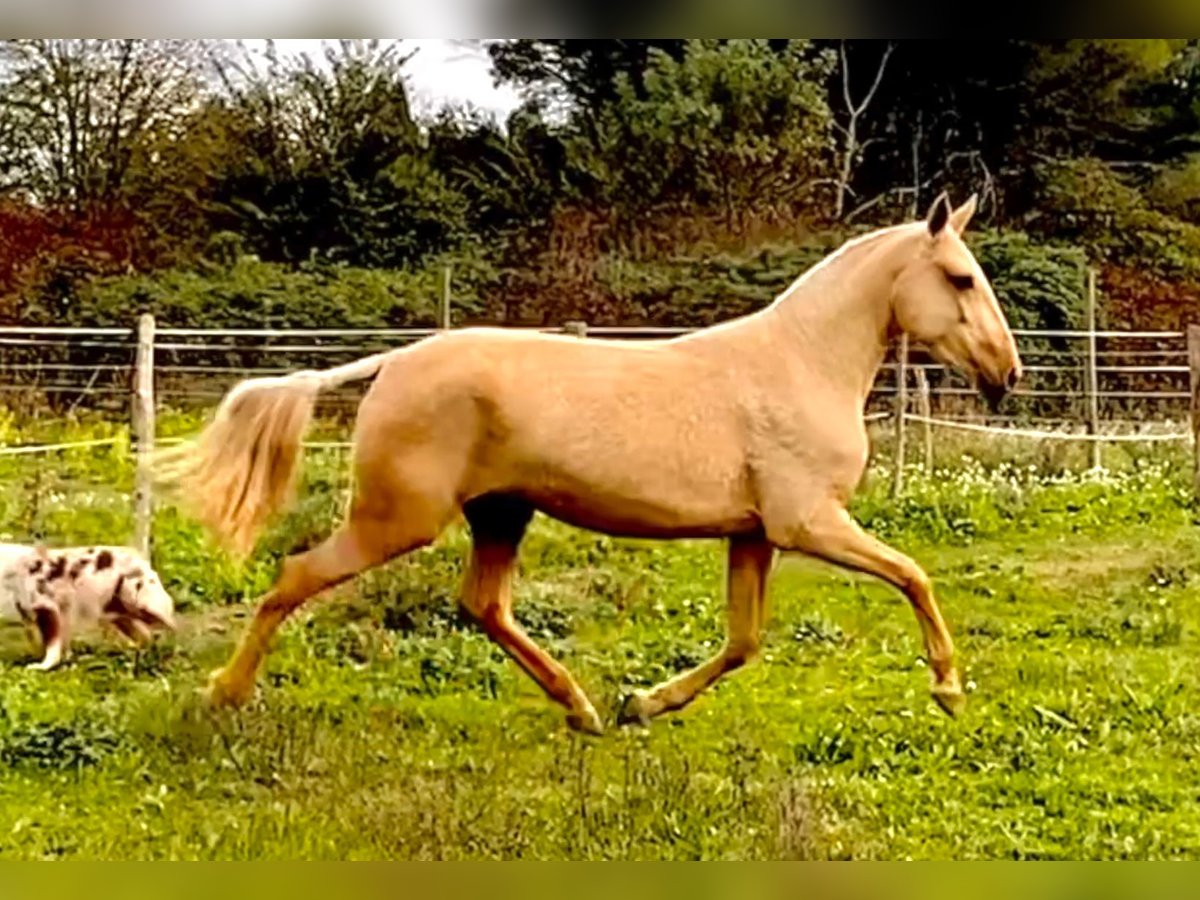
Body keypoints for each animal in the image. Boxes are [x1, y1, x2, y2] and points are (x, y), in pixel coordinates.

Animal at [0, 542, 175, 672]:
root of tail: (142, 560)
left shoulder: (47, 607)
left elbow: (52, 647)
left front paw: (42, 667)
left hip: (141, 603)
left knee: (169, 626)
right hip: (120, 613)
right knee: (145, 637)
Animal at [157, 190, 1022, 734]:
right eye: (960, 278)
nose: (1006, 374)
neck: (802, 363)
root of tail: (393, 363)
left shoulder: (753, 533)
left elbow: (744, 642)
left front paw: (643, 702)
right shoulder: (807, 521)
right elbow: (914, 574)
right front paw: (949, 689)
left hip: (500, 513)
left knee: (483, 606)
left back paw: (584, 709)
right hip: (398, 520)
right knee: (296, 576)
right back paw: (222, 694)